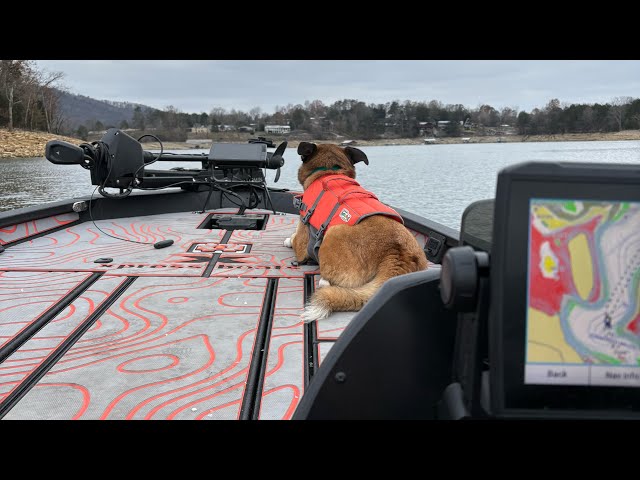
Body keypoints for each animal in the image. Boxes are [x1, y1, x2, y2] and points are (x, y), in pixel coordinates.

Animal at [284, 142, 424, 322]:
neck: (330, 170)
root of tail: (396, 253)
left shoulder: (302, 237)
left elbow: (295, 239)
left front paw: (288, 240)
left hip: (332, 234)